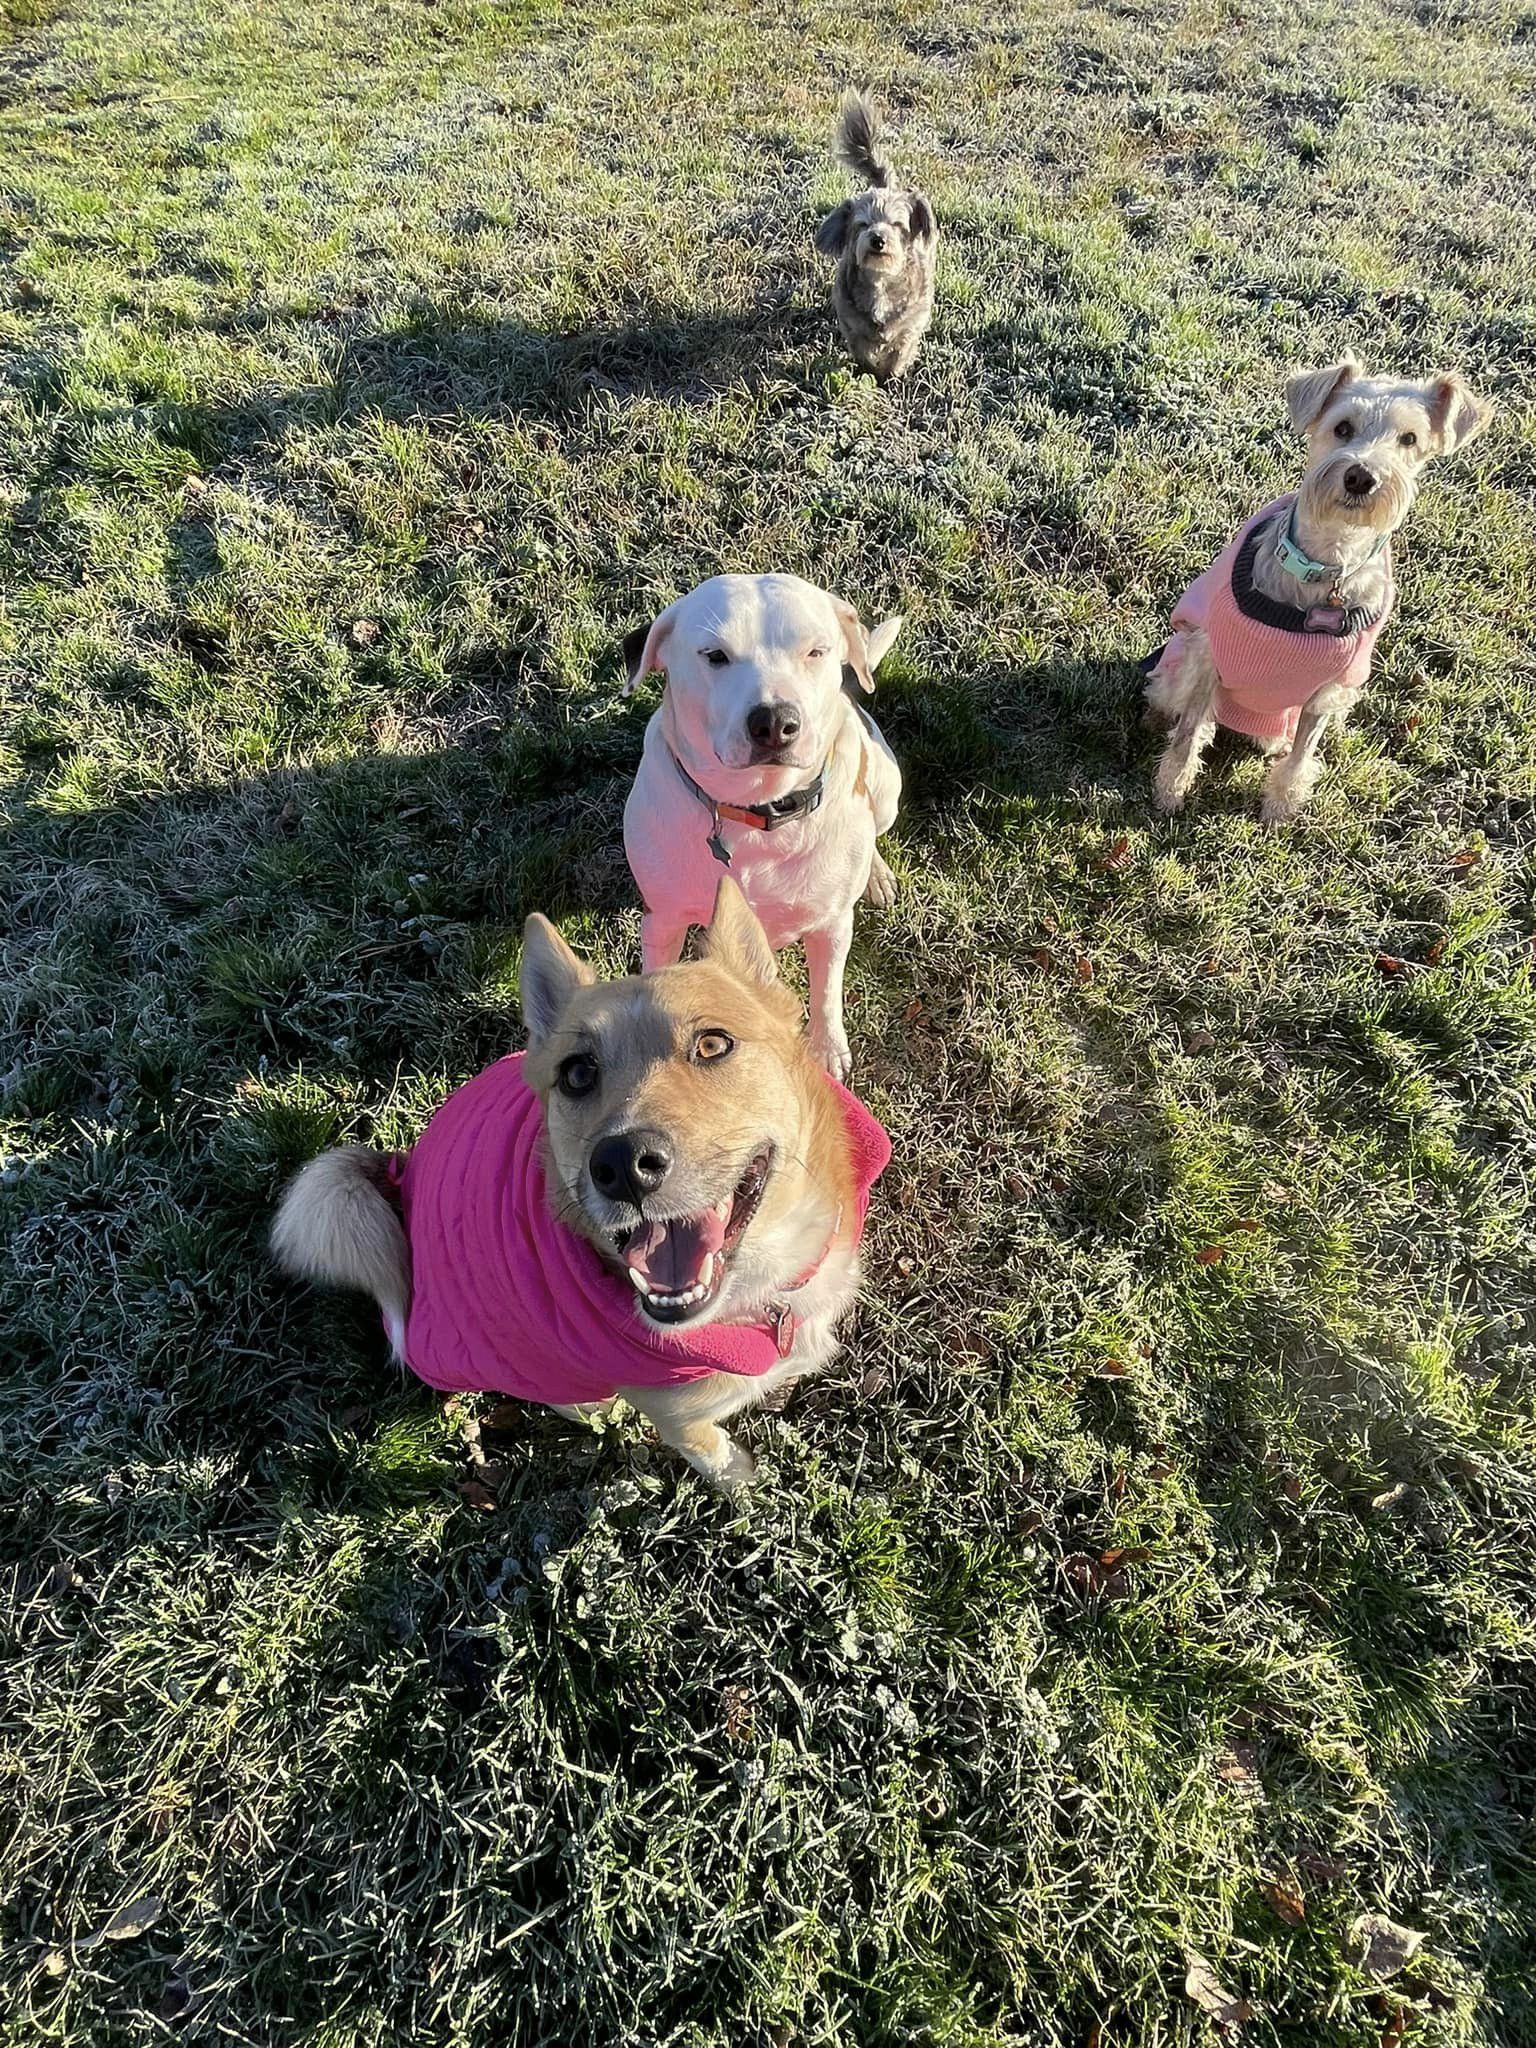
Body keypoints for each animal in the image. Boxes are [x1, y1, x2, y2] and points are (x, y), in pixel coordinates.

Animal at [626, 573, 909, 1081]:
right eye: (714, 655)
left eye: (815, 652)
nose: (775, 722)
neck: (757, 813)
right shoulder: (663, 919)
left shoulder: (831, 924)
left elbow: (826, 991)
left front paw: (825, 1049)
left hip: (885, 785)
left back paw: (875, 874)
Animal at [819, 89, 937, 385]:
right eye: (862, 224)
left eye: (897, 224)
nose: (878, 239)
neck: (881, 279)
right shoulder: (851, 322)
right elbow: (862, 349)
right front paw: (869, 370)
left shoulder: (911, 323)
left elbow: (900, 350)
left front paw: (890, 376)